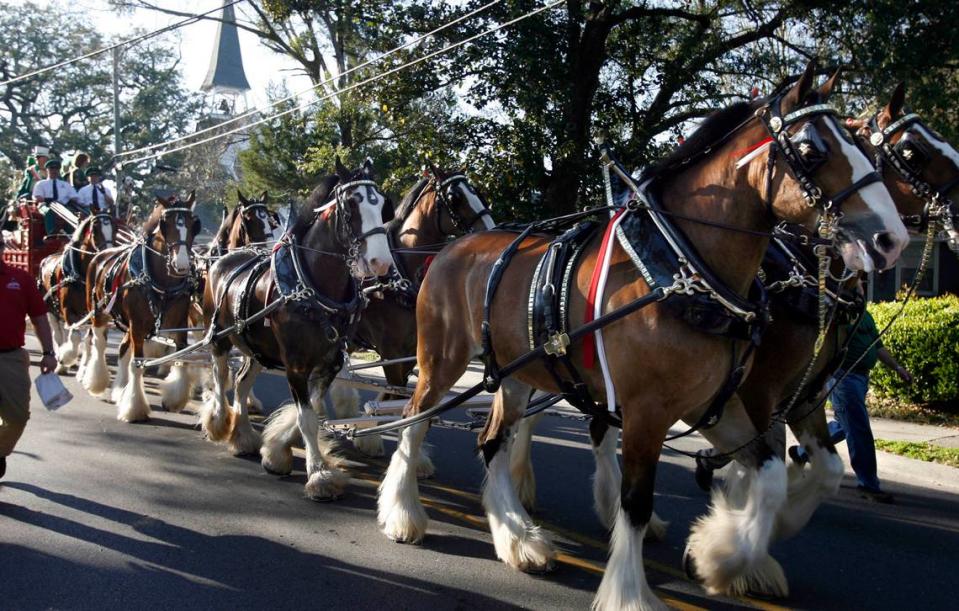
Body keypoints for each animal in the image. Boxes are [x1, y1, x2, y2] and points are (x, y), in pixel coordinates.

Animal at [39, 215, 117, 378]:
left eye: (115, 229)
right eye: (95, 229)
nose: (108, 255)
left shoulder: (92, 312)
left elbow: (88, 340)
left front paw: (84, 368)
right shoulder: (68, 310)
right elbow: (74, 337)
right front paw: (63, 361)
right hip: (50, 310)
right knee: (57, 335)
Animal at [81, 194, 202, 424]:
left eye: (194, 225)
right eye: (165, 224)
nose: (181, 265)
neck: (161, 283)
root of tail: (100, 255)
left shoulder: (180, 323)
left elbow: (180, 357)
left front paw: (175, 399)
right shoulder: (137, 325)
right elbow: (137, 364)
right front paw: (134, 408)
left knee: (122, 350)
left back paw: (120, 389)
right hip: (99, 313)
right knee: (99, 343)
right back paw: (97, 381)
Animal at [201, 158, 396, 498]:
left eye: (382, 204)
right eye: (351, 204)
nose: (381, 263)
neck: (312, 288)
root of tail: (224, 259)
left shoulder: (329, 363)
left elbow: (313, 409)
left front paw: (278, 449)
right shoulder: (295, 365)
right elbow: (307, 418)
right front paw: (318, 474)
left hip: (257, 349)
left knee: (240, 383)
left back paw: (243, 436)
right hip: (220, 340)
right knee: (221, 377)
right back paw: (219, 422)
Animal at [264, 164, 498, 464]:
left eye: (477, 191)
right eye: (455, 197)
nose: (491, 230)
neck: (399, 274)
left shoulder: (410, 352)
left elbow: (398, 400)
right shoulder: (391, 351)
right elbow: (393, 399)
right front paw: (373, 439)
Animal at [374, 63, 908, 611]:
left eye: (863, 148)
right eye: (812, 150)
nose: (891, 239)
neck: (679, 270)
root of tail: (451, 249)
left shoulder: (716, 403)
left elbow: (772, 474)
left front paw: (720, 556)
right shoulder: (652, 409)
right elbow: (635, 500)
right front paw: (631, 591)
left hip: (516, 372)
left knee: (492, 442)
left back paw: (518, 539)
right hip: (441, 360)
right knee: (415, 419)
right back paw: (404, 513)